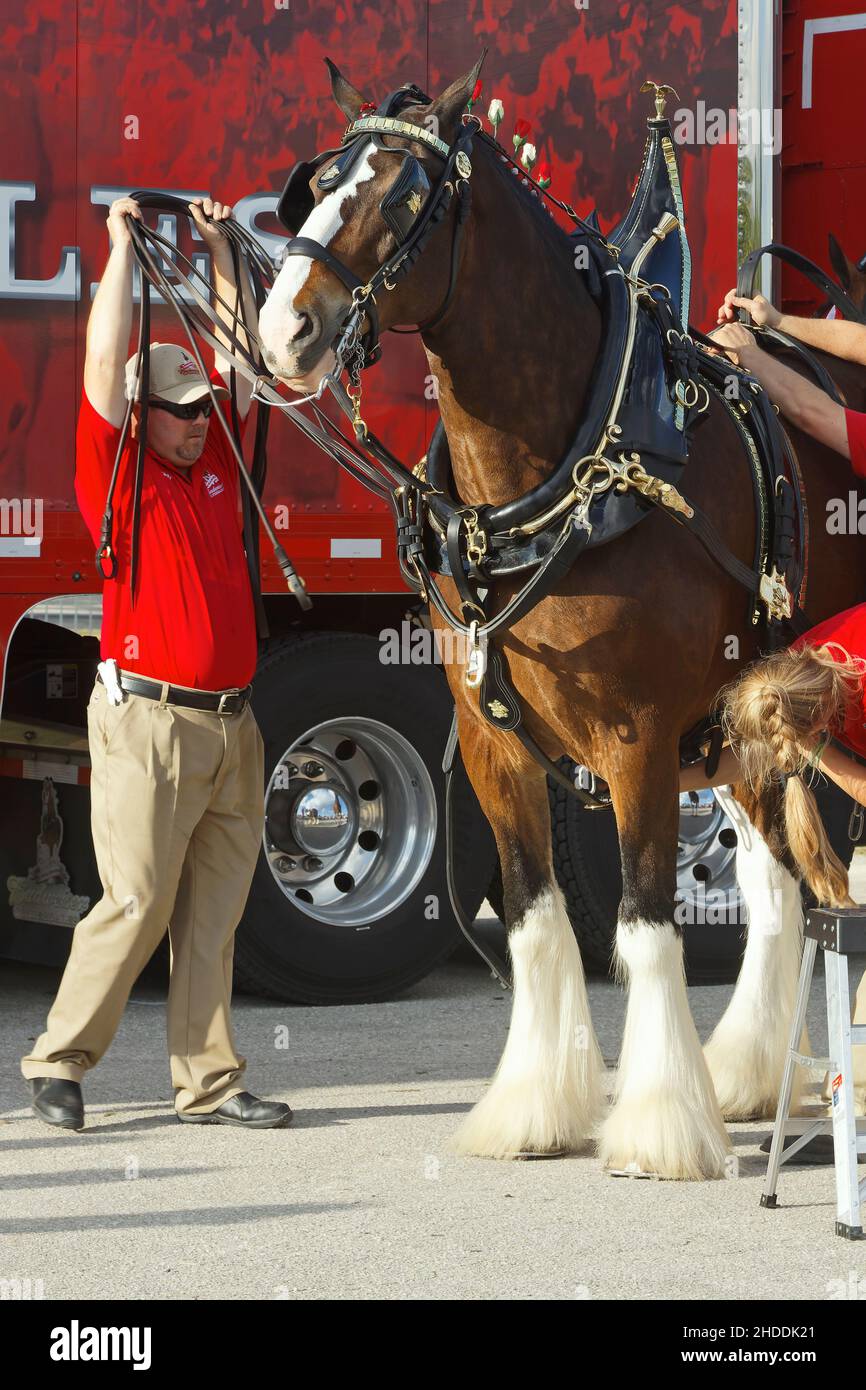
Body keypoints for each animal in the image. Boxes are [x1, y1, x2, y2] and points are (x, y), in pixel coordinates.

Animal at [261, 59, 866, 1178]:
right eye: (316, 184)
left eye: (402, 199)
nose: (284, 329)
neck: (574, 469)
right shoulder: (490, 741)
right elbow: (536, 920)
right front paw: (535, 1106)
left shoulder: (636, 738)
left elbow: (642, 922)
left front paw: (660, 1123)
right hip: (758, 716)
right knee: (774, 885)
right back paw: (747, 1072)